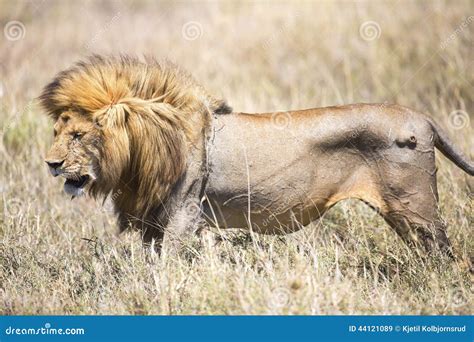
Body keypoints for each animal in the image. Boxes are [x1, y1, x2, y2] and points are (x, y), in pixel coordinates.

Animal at [39, 54, 472, 256]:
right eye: (56, 133)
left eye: (78, 135)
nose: (51, 164)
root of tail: (423, 119)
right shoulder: (152, 219)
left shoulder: (183, 212)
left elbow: (167, 263)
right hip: (403, 215)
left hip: (415, 207)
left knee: (444, 252)